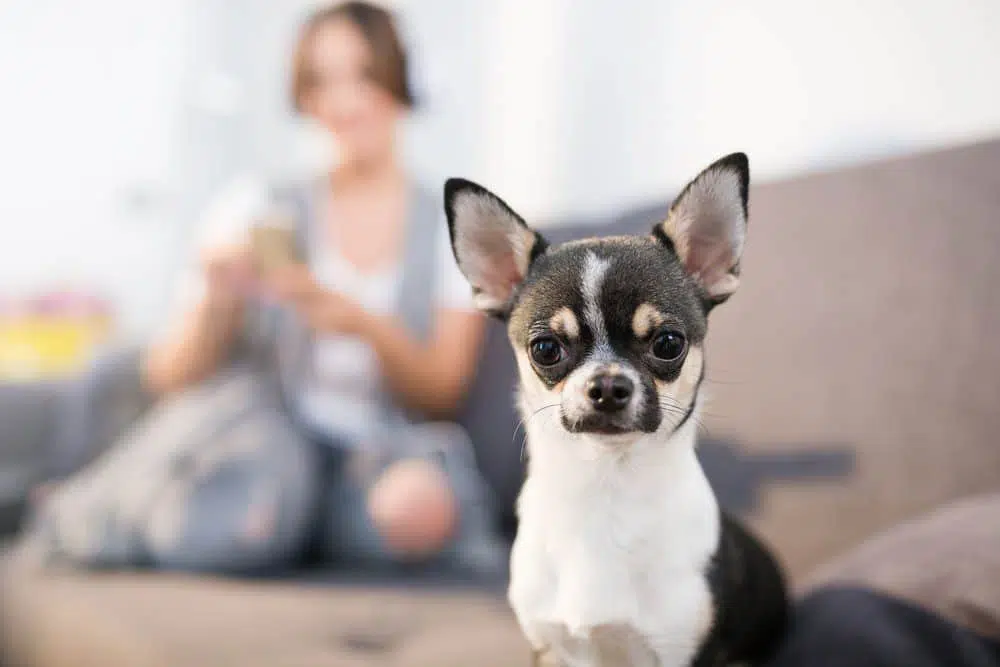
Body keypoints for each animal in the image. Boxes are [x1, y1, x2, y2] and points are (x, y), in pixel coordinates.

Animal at [446, 154, 788, 664]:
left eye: (668, 343)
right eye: (545, 349)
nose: (607, 385)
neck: (605, 485)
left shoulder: (684, 652)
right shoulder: (551, 649)